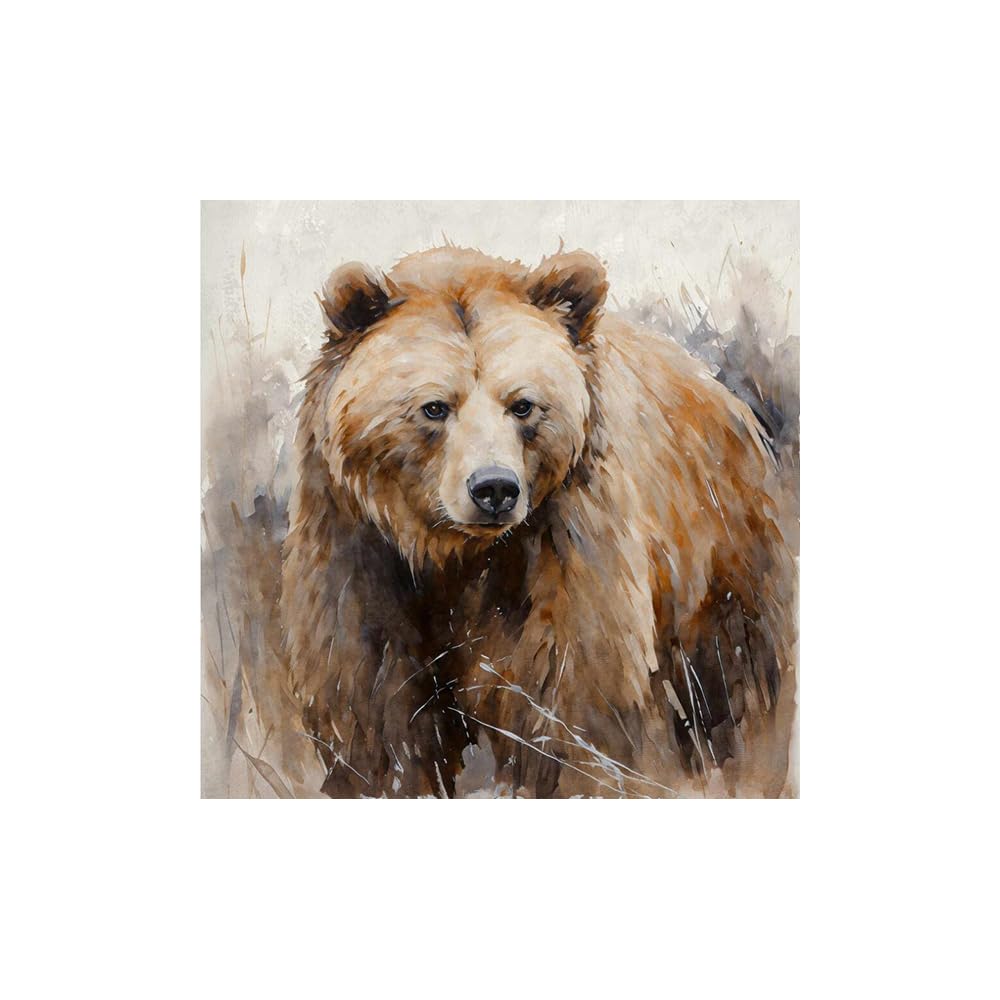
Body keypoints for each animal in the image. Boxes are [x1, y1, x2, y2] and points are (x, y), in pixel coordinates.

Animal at [280, 246, 796, 798]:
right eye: (434, 407)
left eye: (523, 405)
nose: (494, 489)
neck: (454, 554)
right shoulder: (356, 549)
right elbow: (375, 712)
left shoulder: (563, 546)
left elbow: (573, 702)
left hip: (721, 564)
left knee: (735, 684)